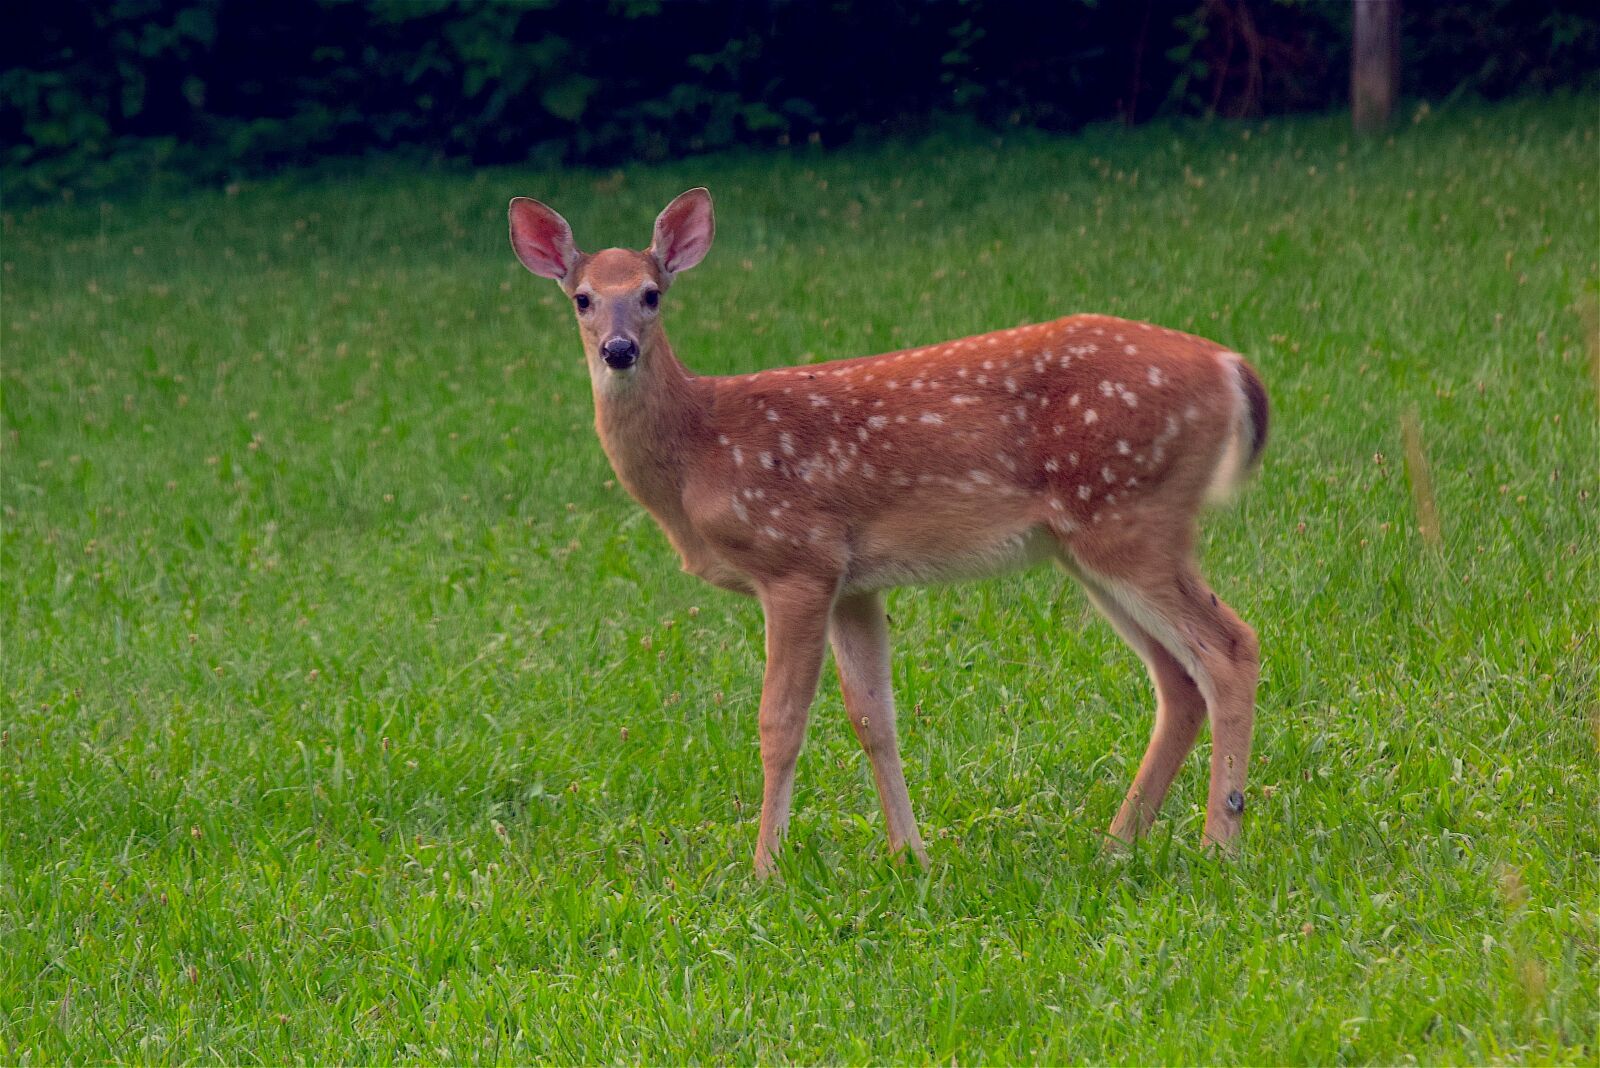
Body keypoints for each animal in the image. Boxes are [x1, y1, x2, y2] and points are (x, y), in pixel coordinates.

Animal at [509, 188, 1268, 877]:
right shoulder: (854, 583)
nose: (618, 350)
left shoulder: (798, 560)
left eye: (651, 294)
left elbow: (780, 723)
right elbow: (874, 719)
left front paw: (765, 870)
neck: (701, 450)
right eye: (581, 298)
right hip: (1095, 541)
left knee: (1231, 646)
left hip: (1130, 517)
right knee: (1179, 679)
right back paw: (1116, 847)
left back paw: (1219, 846)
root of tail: (1229, 367)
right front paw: (912, 856)